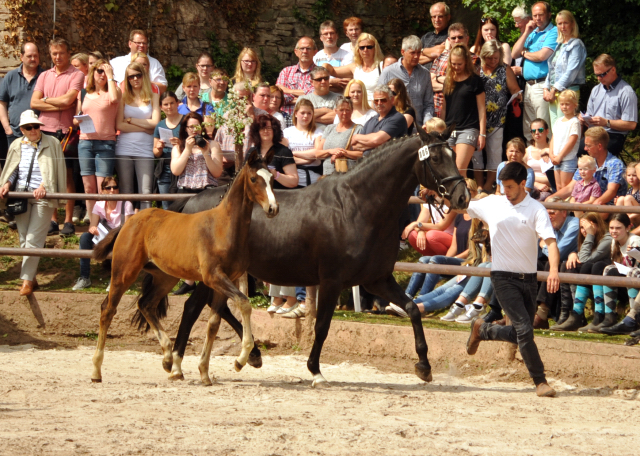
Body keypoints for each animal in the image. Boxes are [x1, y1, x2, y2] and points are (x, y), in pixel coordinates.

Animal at [90, 148, 278, 382]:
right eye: (254, 179)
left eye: (272, 179)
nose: (273, 208)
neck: (223, 228)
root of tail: (129, 221)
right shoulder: (214, 277)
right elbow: (244, 303)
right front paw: (240, 360)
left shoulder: (225, 282)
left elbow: (213, 324)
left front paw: (204, 372)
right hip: (124, 272)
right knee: (107, 309)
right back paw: (96, 370)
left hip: (165, 277)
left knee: (146, 304)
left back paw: (168, 359)